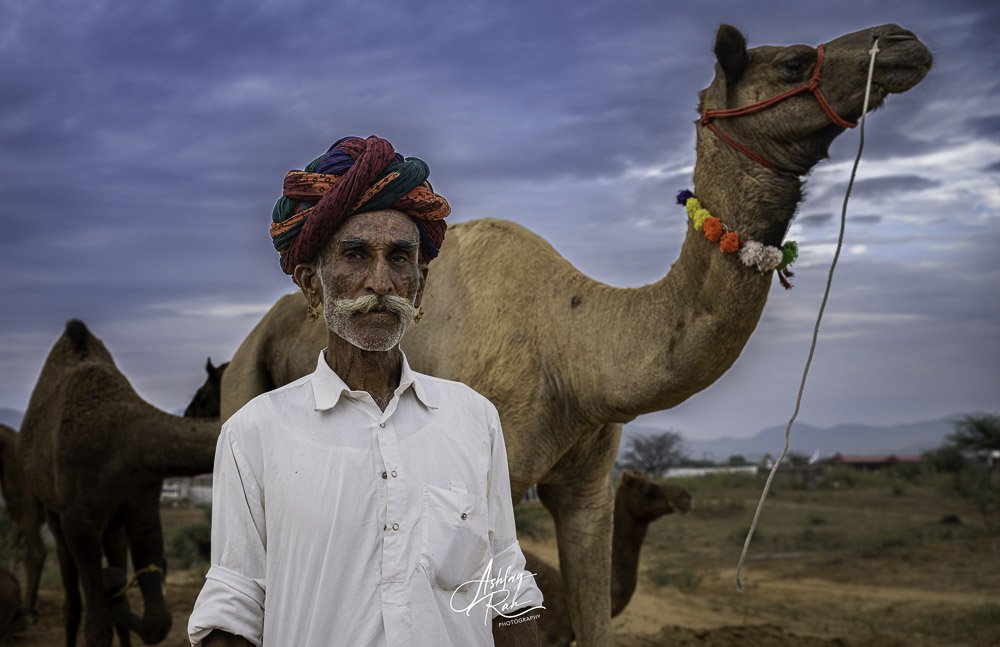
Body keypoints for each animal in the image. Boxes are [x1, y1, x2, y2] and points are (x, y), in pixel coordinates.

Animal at [17, 320, 221, 647]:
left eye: (201, 397)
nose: (189, 412)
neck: (125, 438)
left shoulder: (143, 502)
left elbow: (157, 621)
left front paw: (116, 595)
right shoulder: (78, 522)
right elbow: (97, 629)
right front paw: (109, 594)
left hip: (112, 526)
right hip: (54, 512)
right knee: (71, 599)